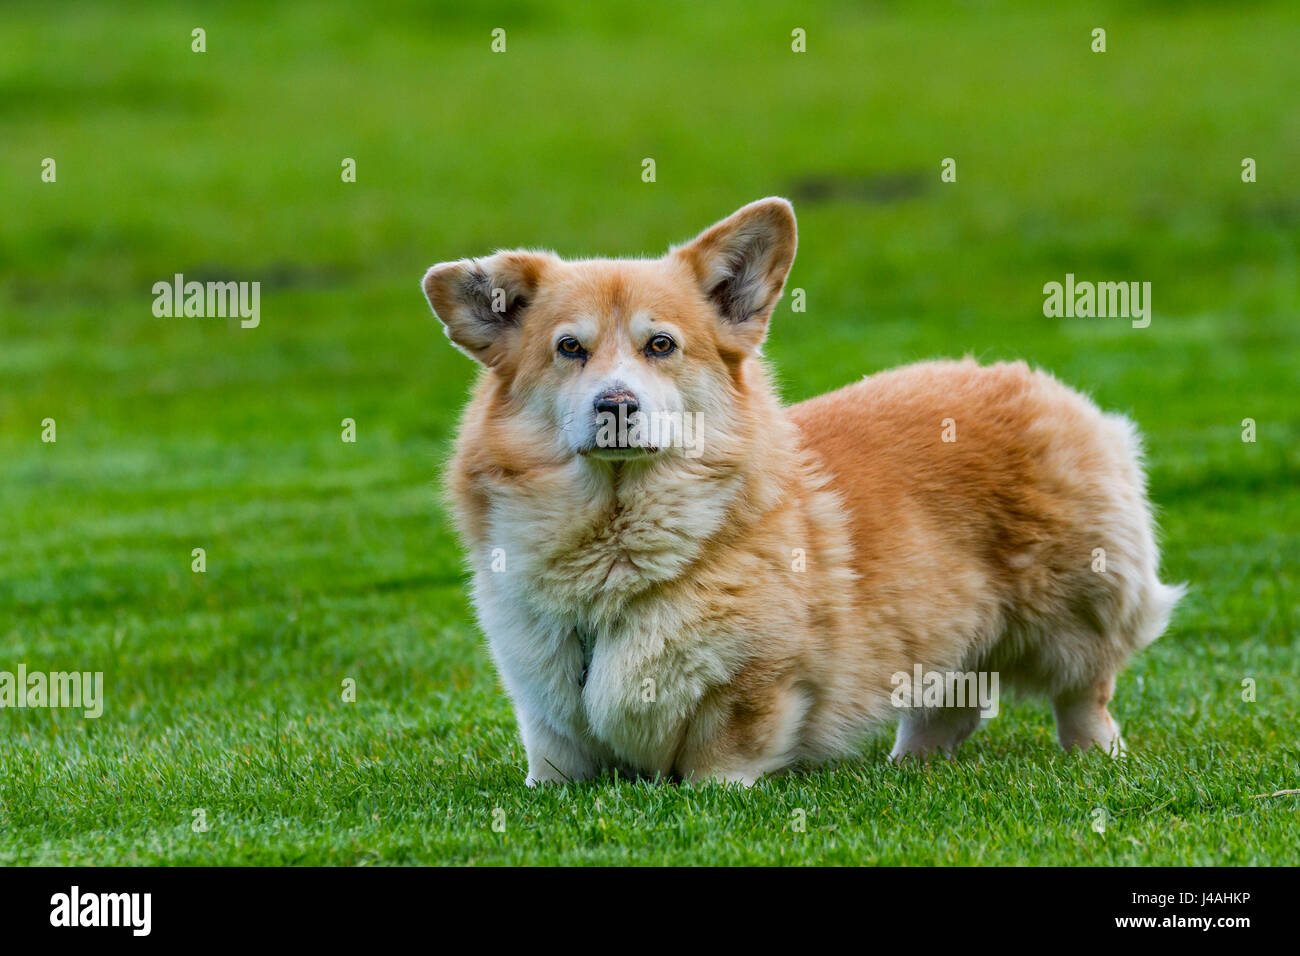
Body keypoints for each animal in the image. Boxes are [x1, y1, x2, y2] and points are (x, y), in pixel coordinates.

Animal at [421, 196, 1185, 785]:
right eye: (569, 349)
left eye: (661, 346)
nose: (616, 405)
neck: (615, 548)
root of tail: (1034, 380)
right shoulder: (546, 712)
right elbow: (551, 766)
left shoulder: (754, 690)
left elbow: (720, 761)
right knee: (951, 706)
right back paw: (910, 766)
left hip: (1078, 609)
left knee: (1085, 694)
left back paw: (1096, 755)